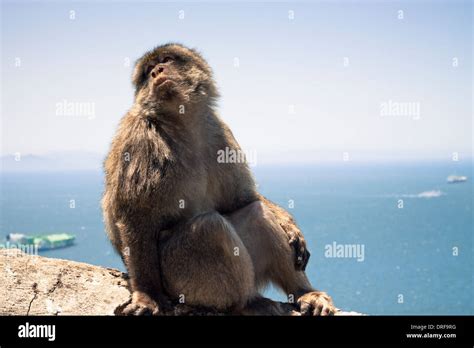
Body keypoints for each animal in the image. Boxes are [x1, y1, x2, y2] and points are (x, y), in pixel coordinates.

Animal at [102, 42, 336, 316]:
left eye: (166, 59)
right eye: (147, 71)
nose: (156, 71)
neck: (182, 124)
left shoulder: (221, 134)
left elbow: (243, 199)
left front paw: (288, 224)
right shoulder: (139, 138)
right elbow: (136, 215)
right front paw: (147, 295)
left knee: (255, 213)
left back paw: (304, 293)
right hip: (178, 278)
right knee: (209, 228)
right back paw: (246, 303)